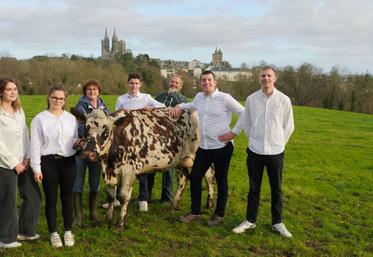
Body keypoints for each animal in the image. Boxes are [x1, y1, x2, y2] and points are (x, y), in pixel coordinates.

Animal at [80, 107, 214, 227]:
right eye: (86, 128)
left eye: (106, 131)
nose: (88, 153)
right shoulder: (110, 171)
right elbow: (111, 196)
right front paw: (108, 218)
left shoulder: (129, 170)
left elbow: (123, 197)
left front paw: (120, 223)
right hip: (180, 160)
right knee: (183, 179)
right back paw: (173, 206)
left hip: (200, 156)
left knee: (209, 176)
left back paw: (209, 203)